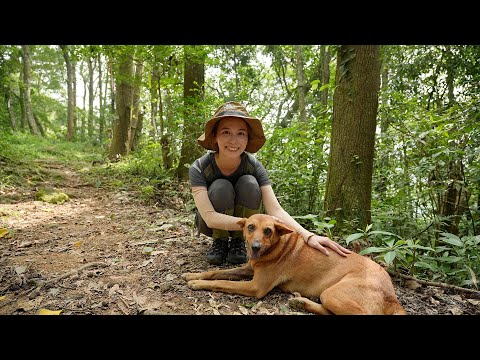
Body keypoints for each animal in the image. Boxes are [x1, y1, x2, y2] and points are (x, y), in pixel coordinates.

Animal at [182, 214, 406, 316]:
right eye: (250, 227)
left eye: (269, 231)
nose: (255, 248)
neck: (277, 247)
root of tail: (392, 295)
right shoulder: (247, 269)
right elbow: (216, 272)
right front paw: (193, 275)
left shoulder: (255, 287)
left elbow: (222, 282)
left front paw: (198, 284)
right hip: (329, 294)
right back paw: (300, 303)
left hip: (333, 293)